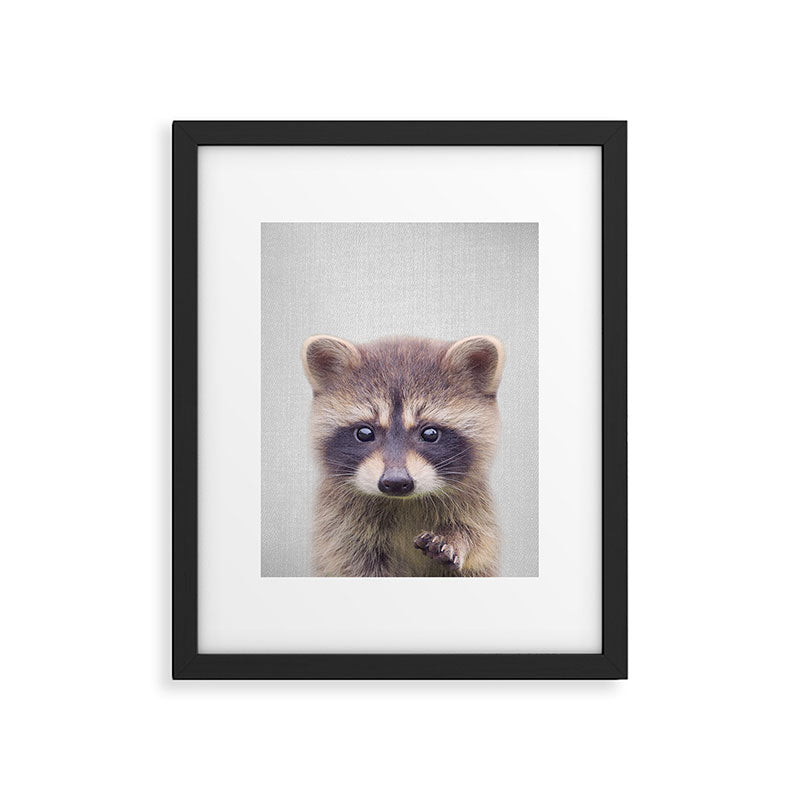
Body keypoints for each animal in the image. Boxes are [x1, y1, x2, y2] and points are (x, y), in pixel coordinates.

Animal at [302, 334, 505, 577]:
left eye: (430, 433)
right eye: (364, 433)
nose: (396, 482)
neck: (404, 502)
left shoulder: (476, 504)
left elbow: (479, 537)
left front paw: (456, 537)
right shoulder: (340, 525)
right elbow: (351, 563)